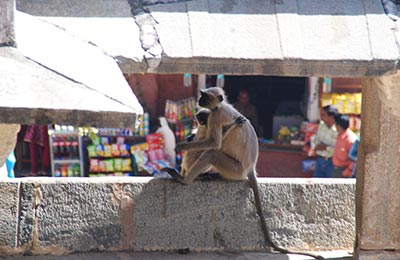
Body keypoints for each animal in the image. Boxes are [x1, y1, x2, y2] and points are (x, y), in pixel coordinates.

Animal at [162, 87, 324, 260]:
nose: (199, 100)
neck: (221, 106)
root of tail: (250, 168)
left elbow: (214, 143)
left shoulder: (215, 116)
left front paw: (183, 146)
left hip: (235, 169)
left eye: (204, 96)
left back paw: (184, 179)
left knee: (212, 153)